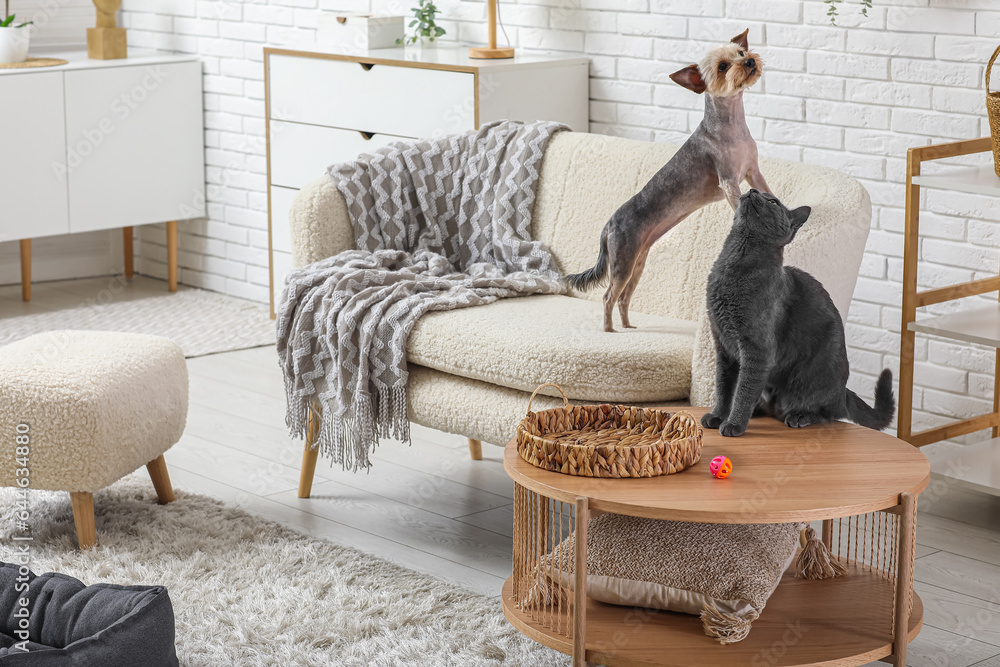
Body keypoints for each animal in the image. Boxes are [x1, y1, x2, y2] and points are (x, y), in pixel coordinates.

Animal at [568, 30, 768, 332]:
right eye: (722, 66)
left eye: (741, 53)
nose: (749, 62)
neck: (732, 124)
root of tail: (608, 225)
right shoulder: (729, 181)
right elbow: (739, 204)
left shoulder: (752, 172)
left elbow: (768, 191)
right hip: (623, 261)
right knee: (608, 296)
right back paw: (609, 330)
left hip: (638, 262)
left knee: (624, 297)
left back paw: (628, 326)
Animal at [700, 189, 896, 438]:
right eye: (758, 192)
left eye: (773, 201)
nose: (752, 191)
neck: (733, 264)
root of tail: (844, 391)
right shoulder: (723, 345)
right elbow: (723, 387)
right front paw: (717, 416)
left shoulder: (757, 349)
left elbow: (743, 389)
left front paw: (734, 424)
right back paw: (758, 410)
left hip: (811, 378)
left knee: (830, 412)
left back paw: (799, 417)